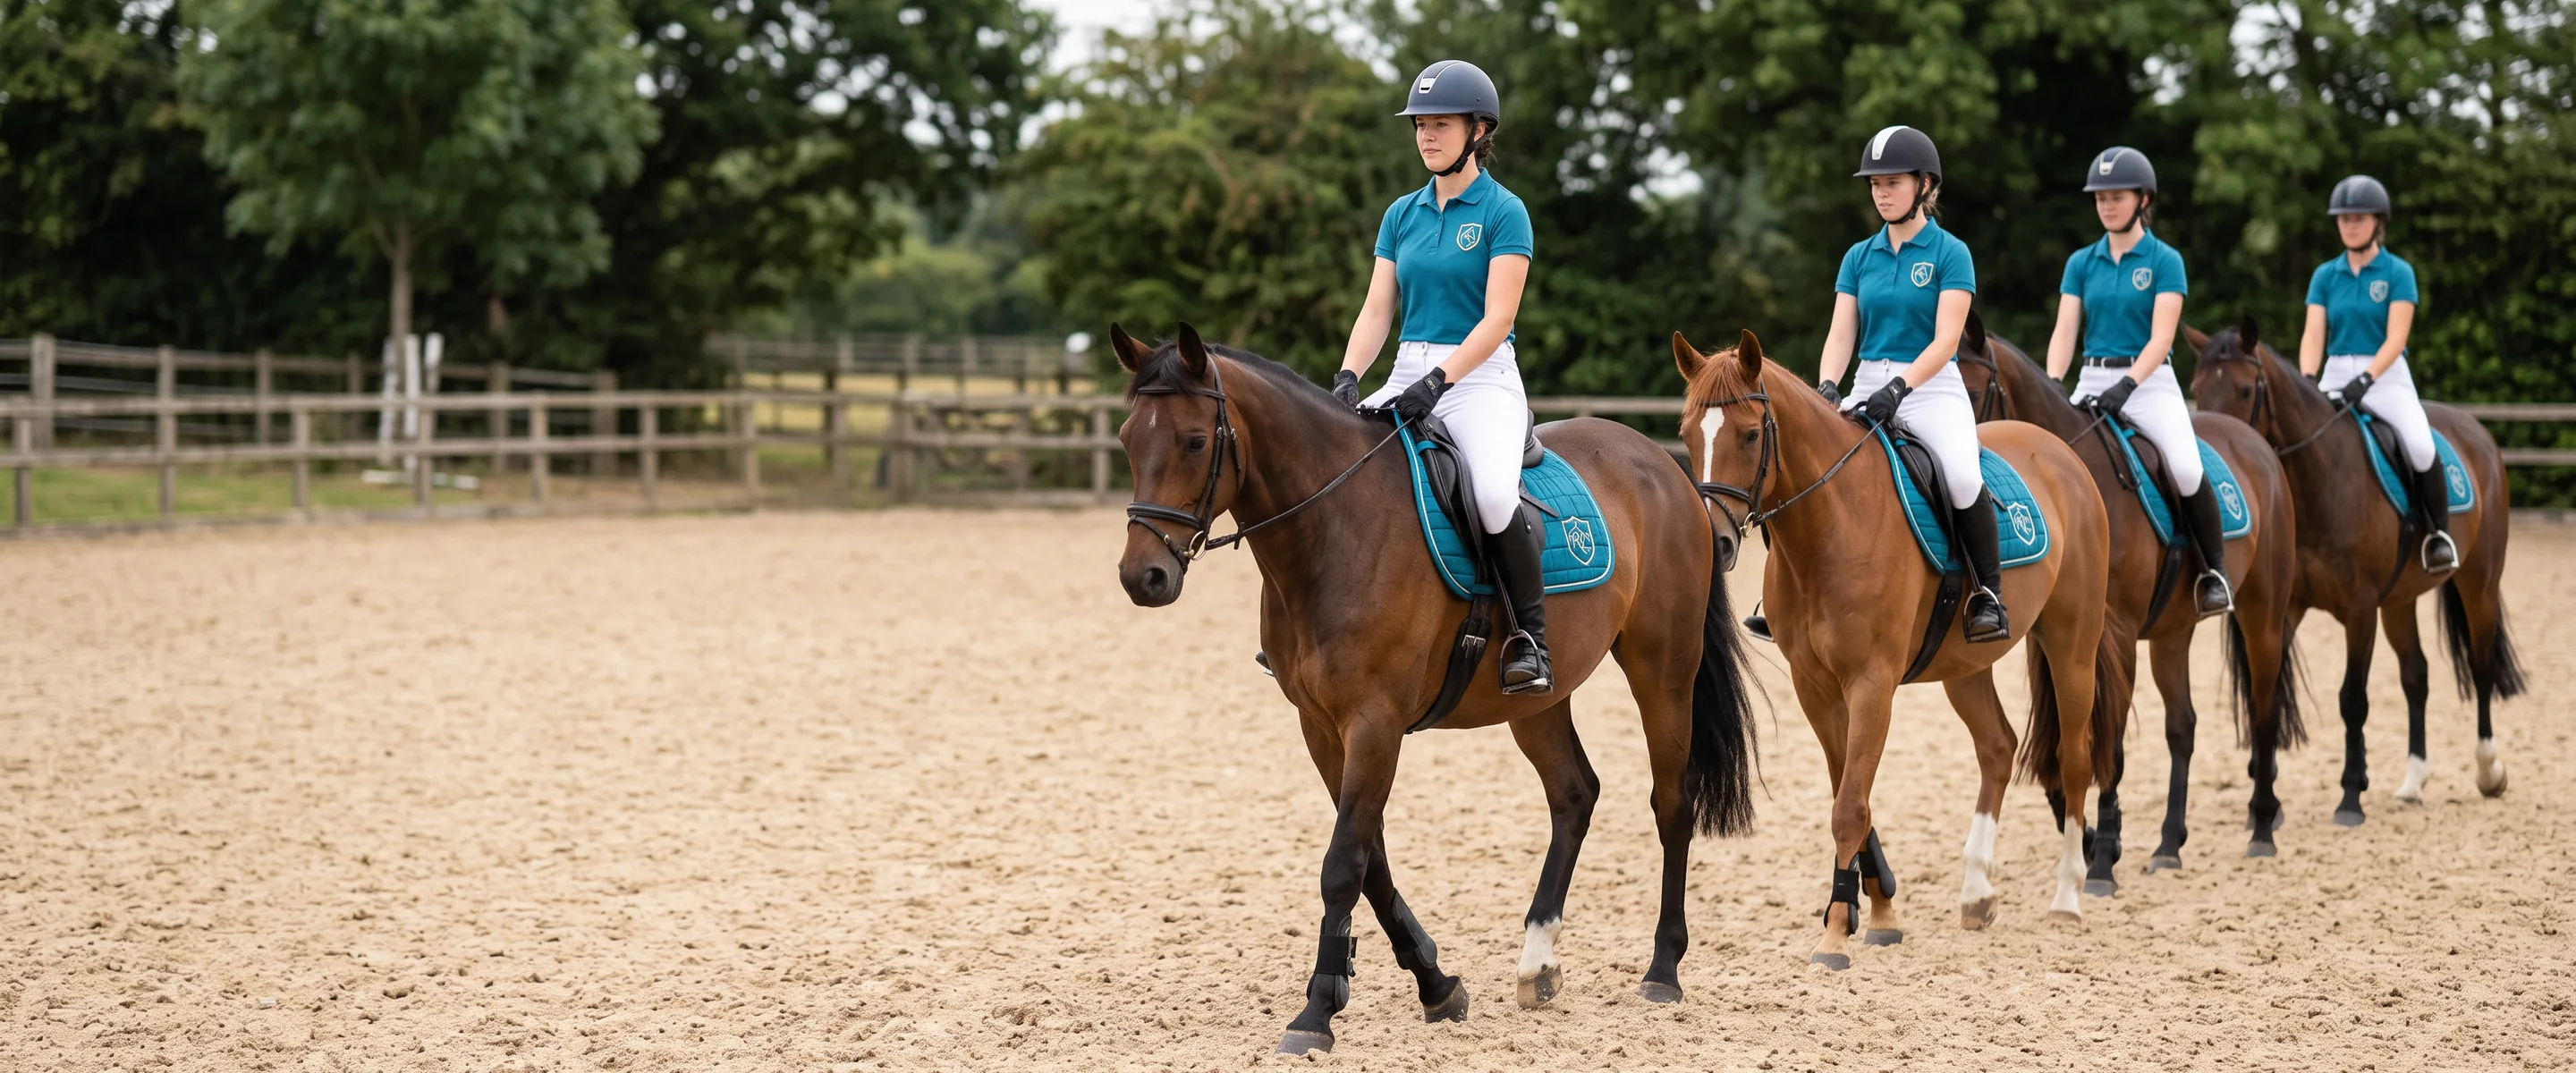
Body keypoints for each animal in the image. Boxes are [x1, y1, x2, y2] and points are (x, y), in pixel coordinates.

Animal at [1111, 323, 1758, 1055]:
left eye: (1195, 441)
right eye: (1129, 439)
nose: (1143, 577)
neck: (1333, 526)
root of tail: (1663, 465)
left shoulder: (1375, 721)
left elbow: (1345, 861)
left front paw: (1316, 1013)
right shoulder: (1321, 727)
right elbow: (1370, 859)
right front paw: (1436, 985)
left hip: (1662, 668)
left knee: (1672, 802)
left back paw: (1663, 970)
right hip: (1536, 697)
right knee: (1574, 794)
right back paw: (1538, 962)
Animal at [1676, 328, 2118, 970]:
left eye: (1751, 434)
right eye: (1686, 433)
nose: (1717, 541)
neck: (1830, 526)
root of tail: (2058, 452)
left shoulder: (1872, 684)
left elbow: (1849, 807)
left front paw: (1837, 932)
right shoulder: (1815, 688)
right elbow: (1851, 795)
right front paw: (1879, 910)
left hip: (2072, 644)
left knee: (2076, 758)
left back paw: (2067, 898)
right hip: (1966, 667)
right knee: (1997, 748)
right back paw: (1976, 892)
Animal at [1953, 322, 2303, 866]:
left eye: (1971, 393)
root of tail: (2252, 443)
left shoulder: (2113, 634)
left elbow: (2108, 743)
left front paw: (2103, 852)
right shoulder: (2052, 637)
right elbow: (2056, 738)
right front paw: (2085, 834)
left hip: (2262, 612)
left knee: (2262, 711)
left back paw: (2262, 826)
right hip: (2172, 632)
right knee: (2182, 726)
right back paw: (2169, 842)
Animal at [2190, 317, 2524, 833]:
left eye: (2246, 390)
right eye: (2195, 389)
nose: (2212, 447)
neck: (2318, 479)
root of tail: (2475, 429)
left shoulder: (2360, 611)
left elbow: (2353, 699)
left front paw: (2349, 797)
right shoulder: (2288, 608)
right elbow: (2269, 691)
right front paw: (2264, 801)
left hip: (2479, 582)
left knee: (2482, 664)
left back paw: (2489, 771)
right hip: (2401, 600)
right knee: (2416, 675)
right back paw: (2412, 783)